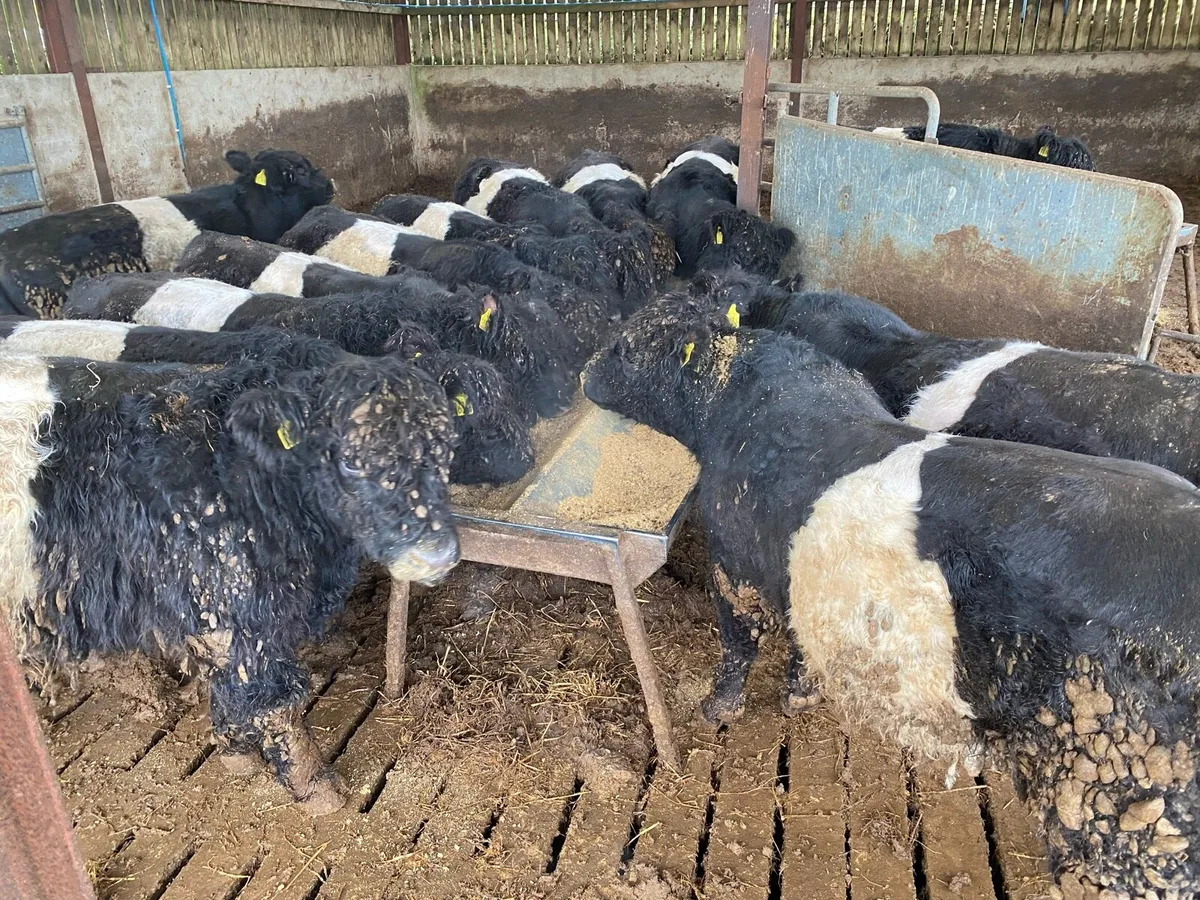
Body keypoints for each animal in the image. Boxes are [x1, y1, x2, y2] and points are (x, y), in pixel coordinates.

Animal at [0, 350, 458, 812]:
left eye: (444, 449)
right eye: (348, 458)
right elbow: (272, 700)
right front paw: (314, 786)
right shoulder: (230, 605)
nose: (436, 553)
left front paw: (234, 749)